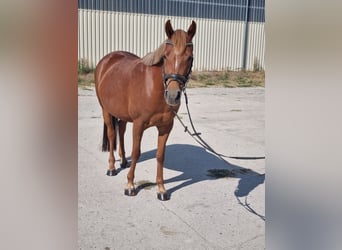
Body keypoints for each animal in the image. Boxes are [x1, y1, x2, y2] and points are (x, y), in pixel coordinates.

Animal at [95, 19, 196, 200]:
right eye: (165, 56)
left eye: (190, 57)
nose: (173, 95)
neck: (153, 88)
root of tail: (107, 60)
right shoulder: (139, 124)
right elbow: (136, 152)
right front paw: (130, 185)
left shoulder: (166, 127)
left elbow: (160, 155)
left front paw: (161, 189)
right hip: (106, 110)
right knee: (112, 135)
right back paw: (112, 167)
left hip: (123, 114)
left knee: (121, 131)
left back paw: (123, 161)